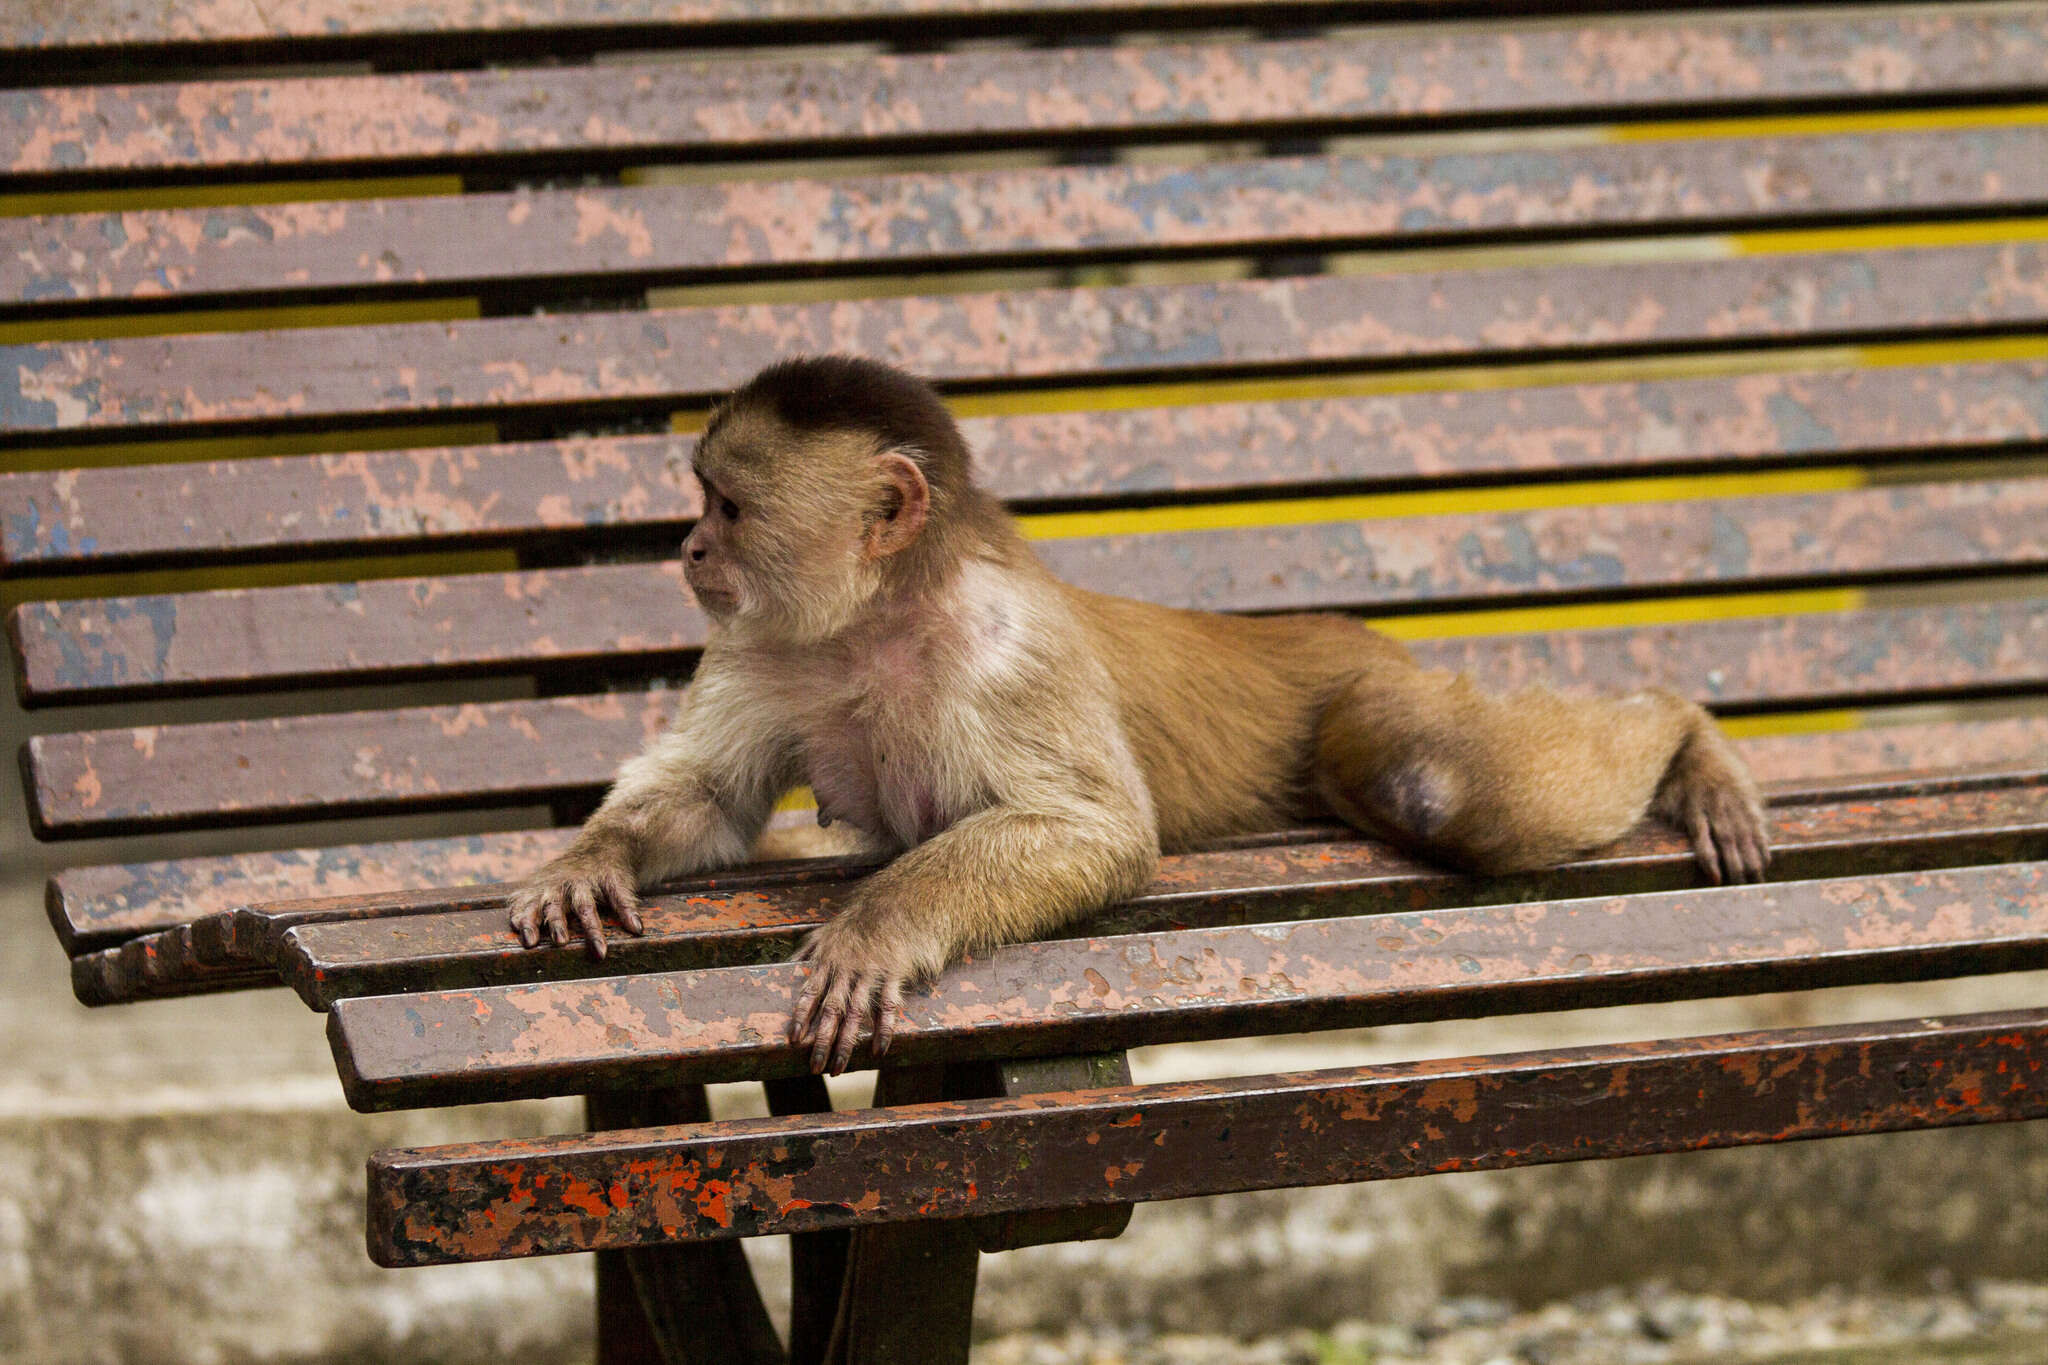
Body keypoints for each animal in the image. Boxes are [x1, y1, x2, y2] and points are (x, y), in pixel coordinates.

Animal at [503, 358, 1769, 1072]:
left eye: (726, 505)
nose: (688, 549)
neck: (881, 613)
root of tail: (1323, 632)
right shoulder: (762, 634)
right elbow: (714, 796)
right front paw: (587, 860)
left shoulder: (1013, 650)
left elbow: (1100, 832)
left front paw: (878, 929)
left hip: (1369, 684)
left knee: (1442, 787)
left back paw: (1685, 734)